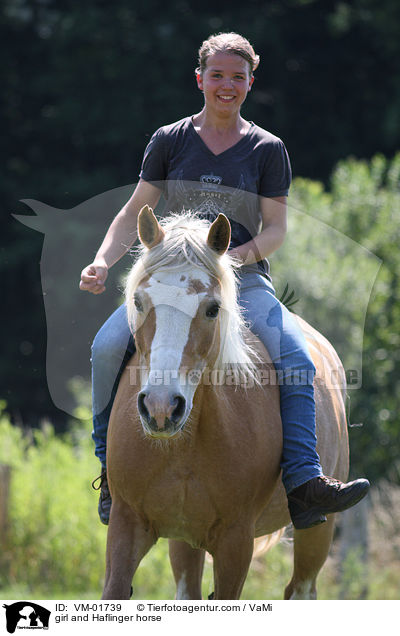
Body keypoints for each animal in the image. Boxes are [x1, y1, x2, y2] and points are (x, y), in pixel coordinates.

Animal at [101, 206, 348, 600]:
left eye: (212, 309)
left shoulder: (236, 542)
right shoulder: (126, 524)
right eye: (138, 302)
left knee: (301, 587)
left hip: (318, 533)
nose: (160, 408)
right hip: (185, 543)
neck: (183, 446)